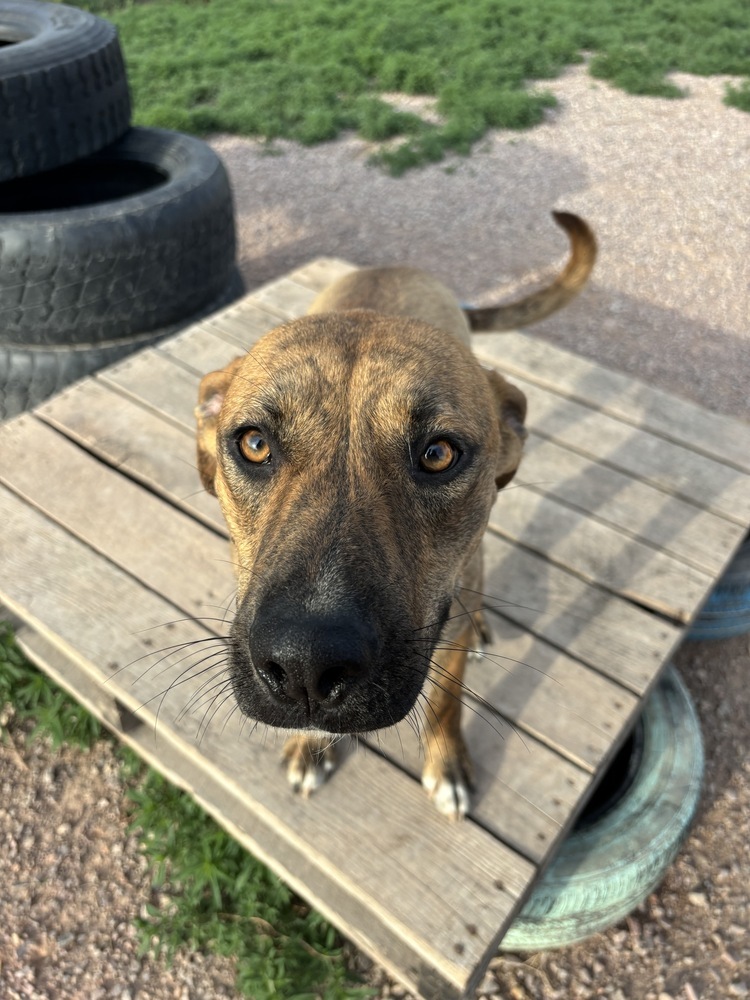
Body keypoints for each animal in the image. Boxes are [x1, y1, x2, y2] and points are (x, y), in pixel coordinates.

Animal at [197, 209, 596, 812]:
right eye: (255, 444)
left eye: (438, 454)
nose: (304, 665)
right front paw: (311, 747)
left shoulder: (445, 636)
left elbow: (446, 700)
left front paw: (446, 762)